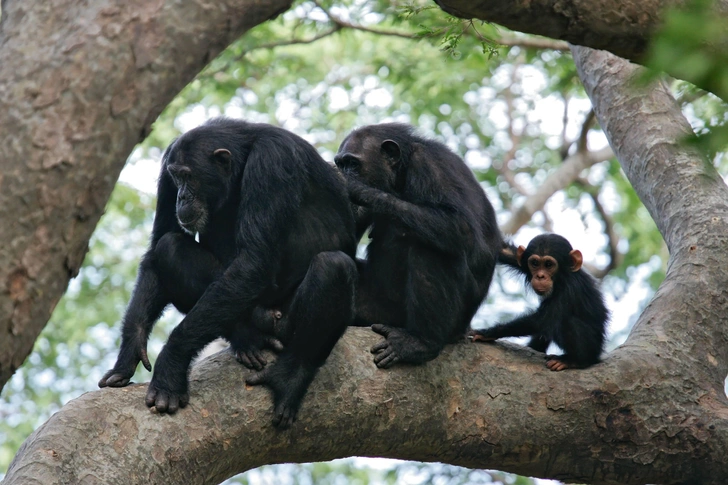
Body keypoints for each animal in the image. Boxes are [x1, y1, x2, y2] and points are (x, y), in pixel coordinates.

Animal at [96, 117, 358, 428]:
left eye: (189, 176)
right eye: (176, 178)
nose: (181, 196)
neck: (243, 158)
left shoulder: (273, 161)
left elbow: (253, 261)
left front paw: (170, 366)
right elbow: (160, 241)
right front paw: (130, 350)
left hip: (285, 321)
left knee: (333, 267)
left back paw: (288, 379)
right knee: (171, 248)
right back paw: (247, 338)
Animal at [334, 122, 500, 366]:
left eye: (353, 164)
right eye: (341, 164)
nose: (343, 173)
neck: (400, 175)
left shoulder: (430, 165)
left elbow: (460, 226)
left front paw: (355, 188)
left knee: (431, 247)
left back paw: (419, 342)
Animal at [466, 233, 608, 368]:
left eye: (549, 265)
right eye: (535, 263)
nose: (540, 276)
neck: (561, 278)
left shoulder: (569, 290)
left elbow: (541, 320)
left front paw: (486, 333)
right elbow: (504, 249)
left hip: (592, 348)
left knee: (568, 322)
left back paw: (574, 361)